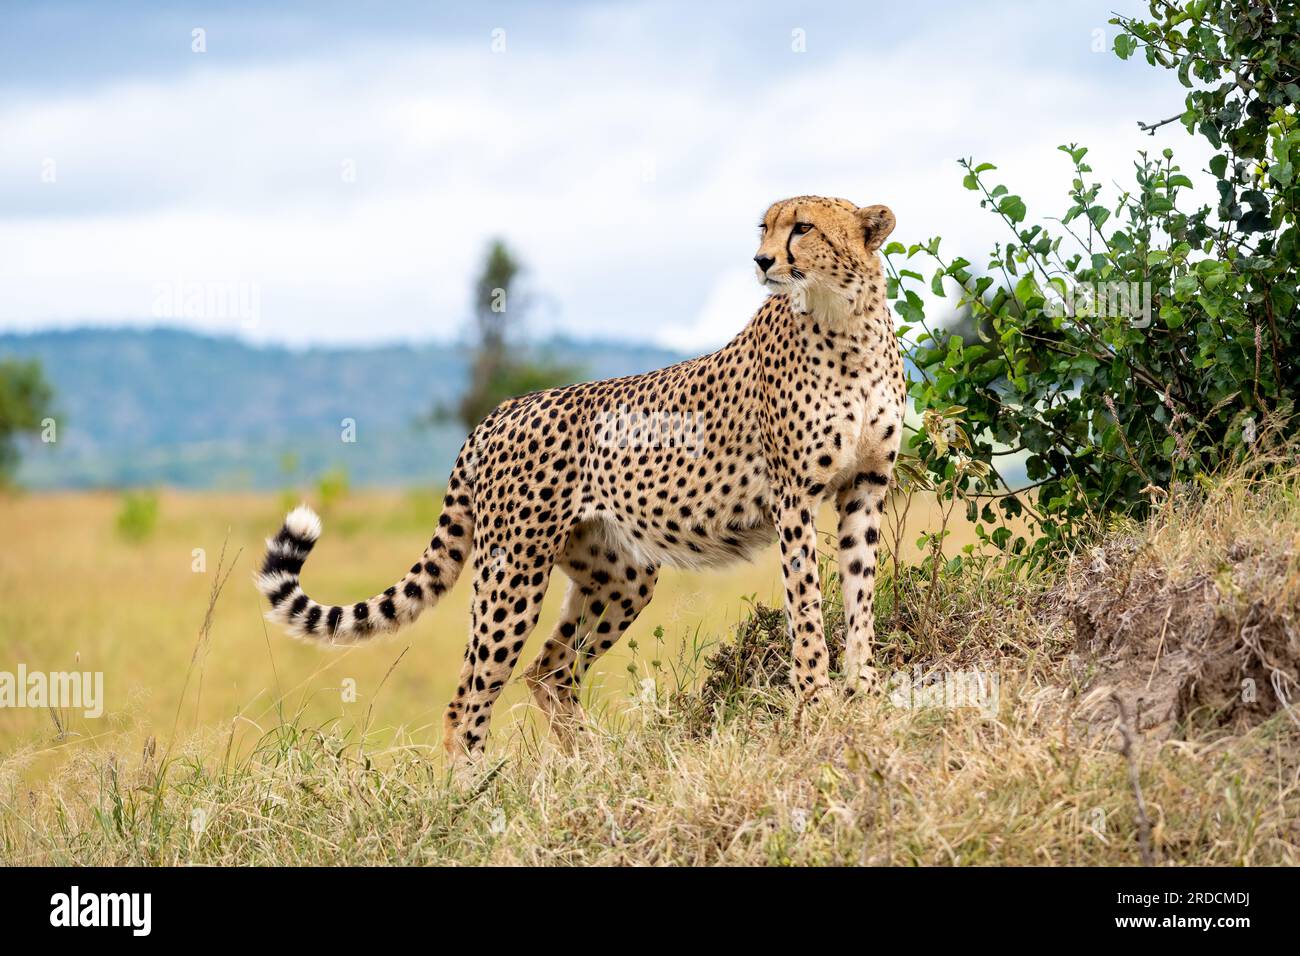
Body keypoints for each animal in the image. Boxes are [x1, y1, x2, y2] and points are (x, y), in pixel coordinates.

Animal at [253, 197, 904, 764]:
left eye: (802, 227)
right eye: (765, 228)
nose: (763, 261)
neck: (845, 323)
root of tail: (499, 411)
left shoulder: (864, 488)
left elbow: (859, 594)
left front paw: (866, 690)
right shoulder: (794, 500)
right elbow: (808, 605)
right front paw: (816, 703)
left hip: (620, 574)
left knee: (551, 670)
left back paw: (594, 766)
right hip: (513, 570)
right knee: (468, 701)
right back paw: (475, 798)